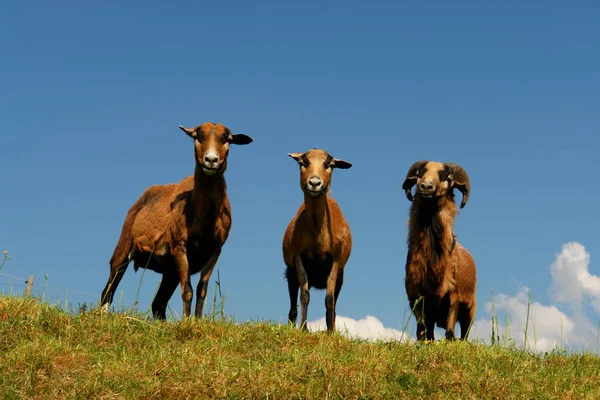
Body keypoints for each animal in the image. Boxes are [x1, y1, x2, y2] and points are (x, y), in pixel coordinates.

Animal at [99, 121, 252, 318]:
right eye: (196, 137)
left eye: (228, 139)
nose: (211, 160)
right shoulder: (180, 245)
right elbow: (187, 291)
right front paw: (187, 321)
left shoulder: (215, 250)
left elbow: (202, 290)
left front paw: (197, 319)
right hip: (124, 245)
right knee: (108, 290)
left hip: (170, 270)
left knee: (158, 303)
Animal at [284, 148, 354, 332]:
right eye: (303, 163)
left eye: (330, 165)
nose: (314, 183)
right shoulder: (298, 257)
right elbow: (304, 295)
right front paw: (303, 328)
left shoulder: (336, 261)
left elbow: (329, 299)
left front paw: (331, 332)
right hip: (290, 272)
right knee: (293, 303)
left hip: (340, 277)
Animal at [400, 159, 476, 340]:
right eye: (420, 174)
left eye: (446, 177)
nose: (426, 187)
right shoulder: (416, 298)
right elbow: (422, 332)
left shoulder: (453, 297)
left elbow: (449, 332)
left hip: (469, 309)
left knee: (464, 334)